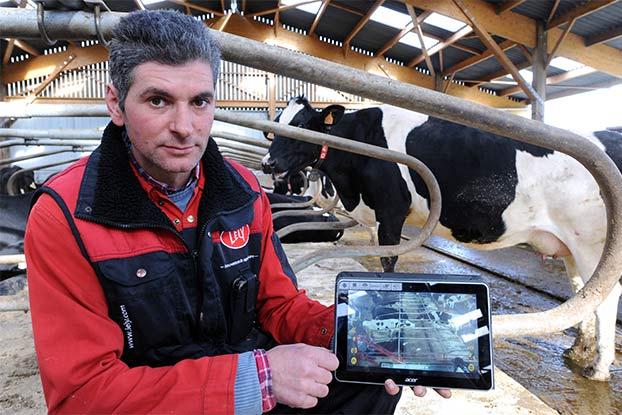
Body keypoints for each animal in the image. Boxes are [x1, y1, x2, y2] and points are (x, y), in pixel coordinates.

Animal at [264, 96, 622, 380]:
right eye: (276, 125)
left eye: (300, 124)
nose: (268, 163)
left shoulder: (391, 210)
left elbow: (388, 262)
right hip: (572, 246)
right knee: (583, 290)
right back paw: (578, 348)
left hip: (591, 243)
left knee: (606, 298)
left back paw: (598, 368)